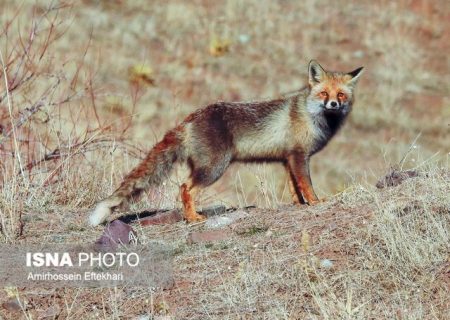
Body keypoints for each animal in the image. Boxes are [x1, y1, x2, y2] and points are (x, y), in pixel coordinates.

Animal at [88, 60, 362, 225]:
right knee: (185, 188)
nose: (333, 104)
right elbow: (307, 185)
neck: (310, 115)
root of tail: (188, 120)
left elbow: (295, 188)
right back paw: (193, 218)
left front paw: (300, 205)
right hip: (214, 168)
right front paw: (315, 203)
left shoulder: (287, 159)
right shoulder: (299, 156)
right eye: (324, 93)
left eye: (340, 95)